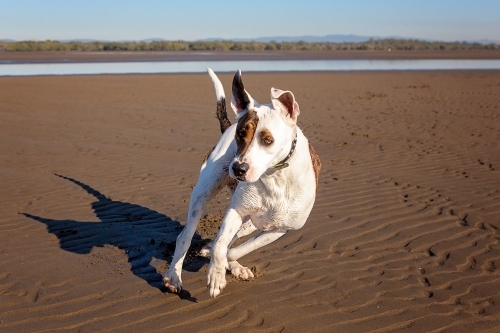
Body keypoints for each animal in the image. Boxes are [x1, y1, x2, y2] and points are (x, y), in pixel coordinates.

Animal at [164, 67, 320, 296]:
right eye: (240, 134)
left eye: (268, 140)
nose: (237, 169)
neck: (273, 177)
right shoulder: (236, 210)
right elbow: (221, 245)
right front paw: (216, 275)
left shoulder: (278, 229)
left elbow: (234, 249)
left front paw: (224, 265)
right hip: (203, 194)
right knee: (185, 237)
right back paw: (174, 276)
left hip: (250, 224)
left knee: (232, 241)